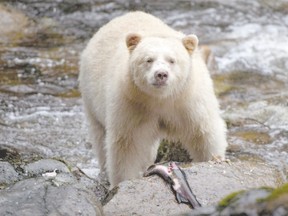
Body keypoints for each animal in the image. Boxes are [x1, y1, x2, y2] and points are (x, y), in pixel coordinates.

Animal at [79, 11, 227, 187]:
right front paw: (122, 182)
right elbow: (127, 145)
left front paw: (214, 159)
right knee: (101, 137)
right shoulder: (131, 103)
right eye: (148, 59)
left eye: (172, 60)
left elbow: (203, 133)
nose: (161, 74)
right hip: (91, 97)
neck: (160, 99)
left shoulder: (189, 101)